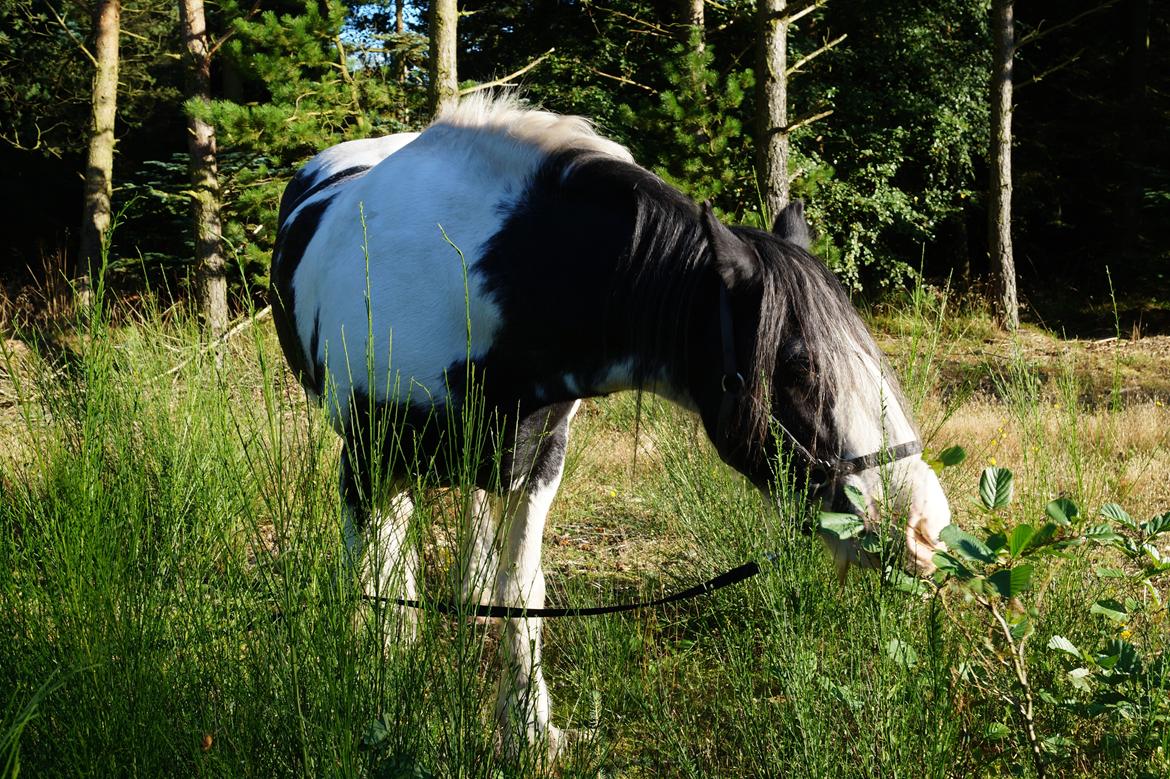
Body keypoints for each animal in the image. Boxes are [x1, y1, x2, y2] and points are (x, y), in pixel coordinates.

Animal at [271, 94, 950, 753]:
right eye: (798, 367)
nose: (923, 528)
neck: (476, 288)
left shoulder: (538, 460)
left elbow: (522, 591)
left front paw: (528, 729)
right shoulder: (364, 461)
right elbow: (374, 593)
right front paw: (380, 717)